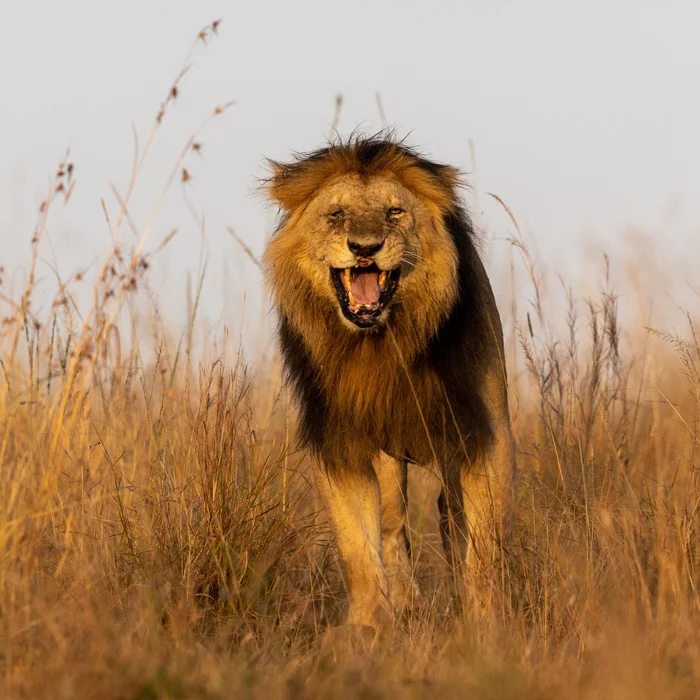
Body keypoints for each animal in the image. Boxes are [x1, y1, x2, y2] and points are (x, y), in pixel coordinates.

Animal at [263, 135, 516, 631]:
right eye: (337, 214)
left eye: (394, 212)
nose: (365, 247)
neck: (380, 345)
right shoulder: (340, 441)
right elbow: (358, 546)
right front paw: (367, 626)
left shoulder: (483, 431)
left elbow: (483, 540)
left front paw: (484, 621)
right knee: (394, 523)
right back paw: (406, 602)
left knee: (449, 515)